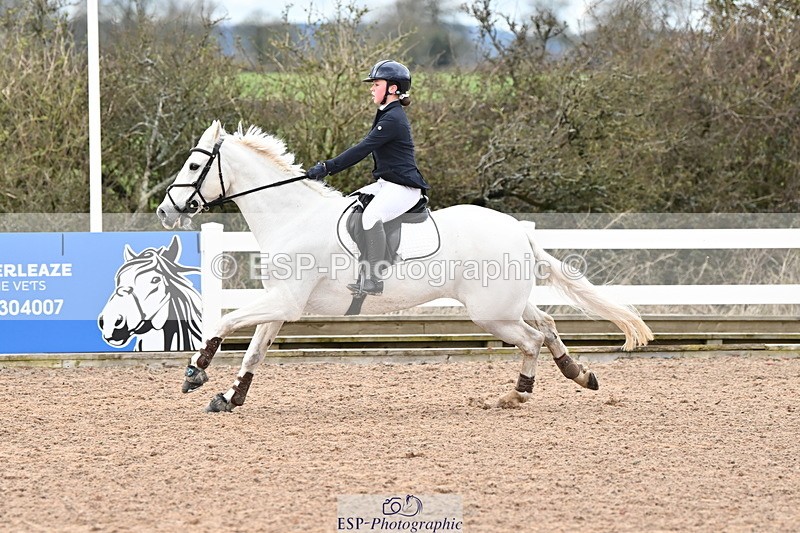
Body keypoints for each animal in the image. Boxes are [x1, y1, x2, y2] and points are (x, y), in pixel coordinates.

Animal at [157, 121, 653, 412]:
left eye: (195, 165)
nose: (165, 211)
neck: (292, 216)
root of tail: (518, 230)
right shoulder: (279, 303)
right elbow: (255, 350)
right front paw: (229, 396)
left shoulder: (285, 302)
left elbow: (224, 322)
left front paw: (196, 372)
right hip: (508, 304)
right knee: (546, 324)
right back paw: (580, 374)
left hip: (492, 313)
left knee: (531, 339)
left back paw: (516, 394)